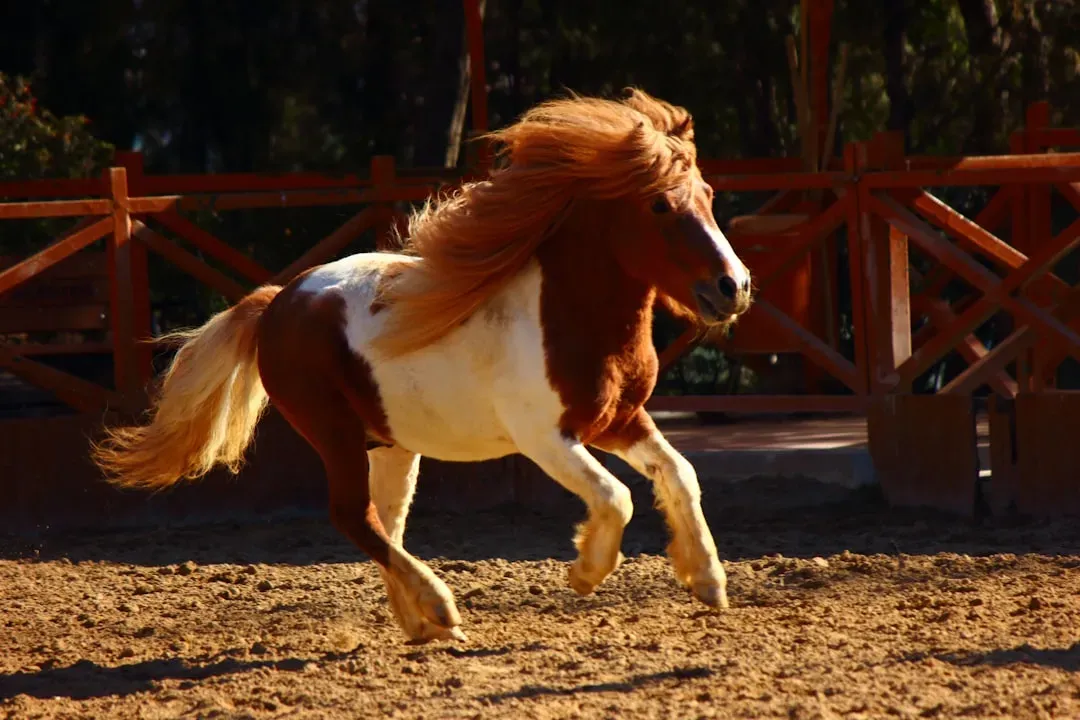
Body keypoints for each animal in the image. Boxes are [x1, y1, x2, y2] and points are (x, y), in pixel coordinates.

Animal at [91, 88, 753, 644]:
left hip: (391, 443)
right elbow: (617, 498)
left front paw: (707, 580)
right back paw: (439, 607)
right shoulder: (545, 437)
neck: (568, 314)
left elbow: (680, 473)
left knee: (385, 523)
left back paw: (419, 621)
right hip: (333, 433)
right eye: (660, 205)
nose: (735, 286)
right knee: (353, 517)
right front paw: (586, 574)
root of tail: (277, 303)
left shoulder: (618, 420)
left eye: (709, 197)